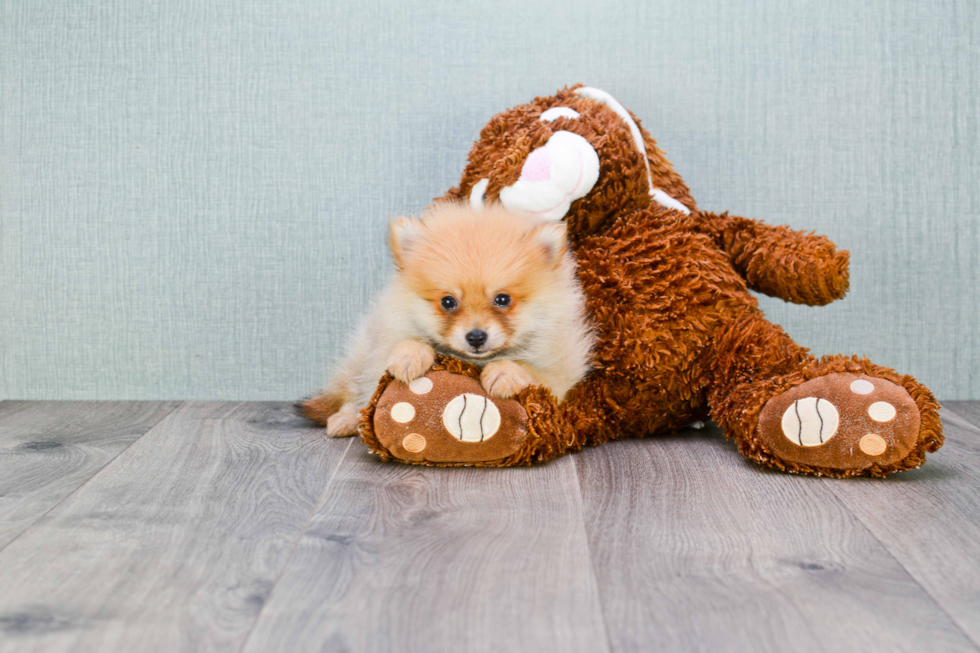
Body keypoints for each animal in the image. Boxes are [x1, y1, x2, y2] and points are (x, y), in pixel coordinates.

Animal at [310, 202, 592, 438]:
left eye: (502, 299)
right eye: (448, 302)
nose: (476, 337)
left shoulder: (561, 376)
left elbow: (530, 369)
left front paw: (504, 372)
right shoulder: (382, 353)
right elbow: (406, 346)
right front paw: (410, 357)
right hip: (361, 356)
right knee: (352, 392)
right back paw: (345, 420)